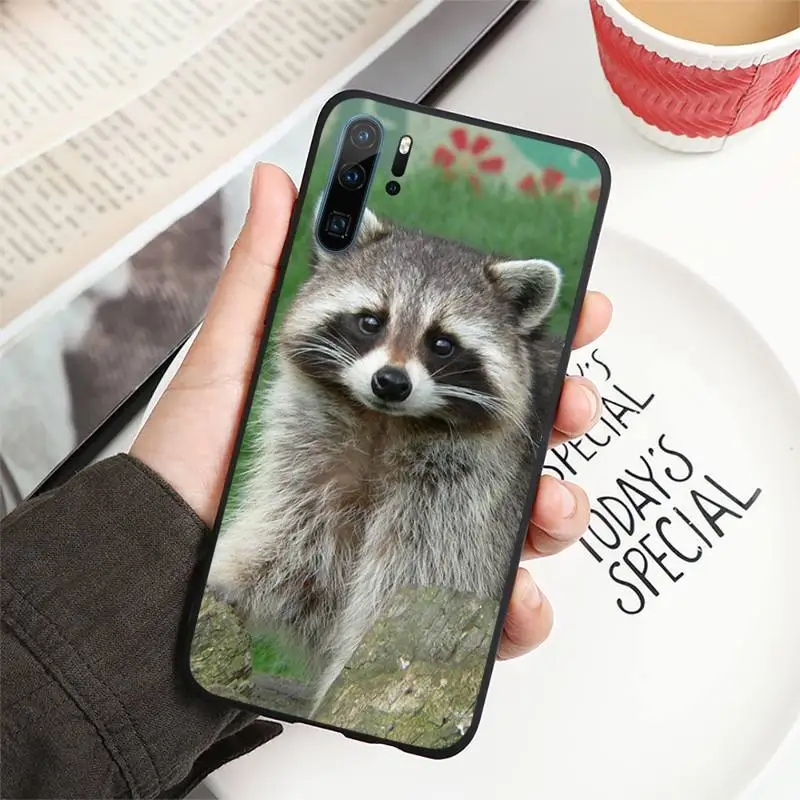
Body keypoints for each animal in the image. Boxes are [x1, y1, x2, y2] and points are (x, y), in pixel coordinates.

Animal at [206, 207, 564, 711]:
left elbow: (413, 578)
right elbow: (296, 557)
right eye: (371, 321)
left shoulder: (463, 500)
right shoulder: (314, 463)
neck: (384, 424)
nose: (390, 382)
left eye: (442, 344)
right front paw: (226, 578)